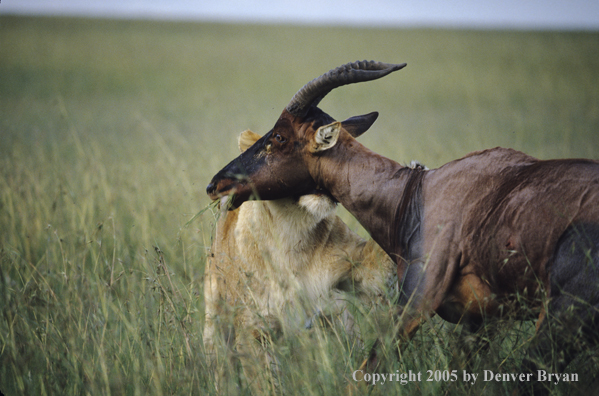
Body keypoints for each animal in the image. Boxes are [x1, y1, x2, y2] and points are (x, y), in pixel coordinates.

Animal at [206, 60, 599, 394]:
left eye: (279, 137)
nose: (216, 184)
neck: (419, 192)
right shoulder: (482, 320)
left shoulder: (416, 300)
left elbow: (365, 373)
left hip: (562, 320)